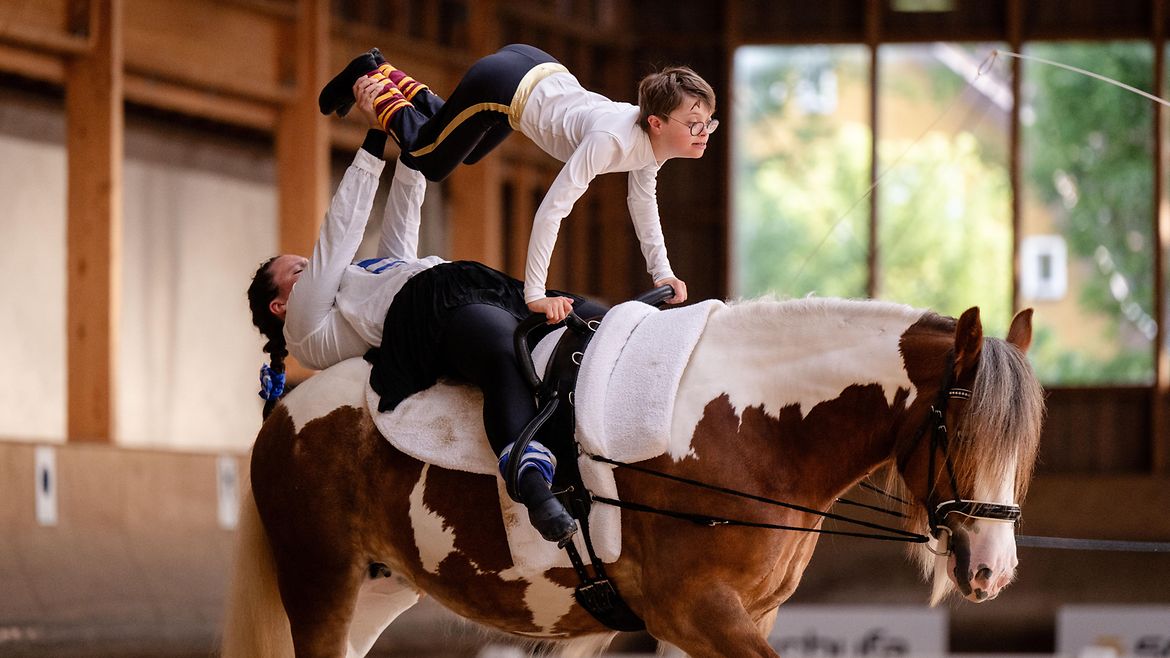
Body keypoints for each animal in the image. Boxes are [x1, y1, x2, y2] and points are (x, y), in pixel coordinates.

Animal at [219, 298, 1043, 655]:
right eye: (964, 432)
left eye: (1025, 443)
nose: (994, 570)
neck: (754, 428)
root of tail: (287, 407)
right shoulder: (698, 612)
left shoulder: (734, 618)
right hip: (322, 585)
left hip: (374, 591)